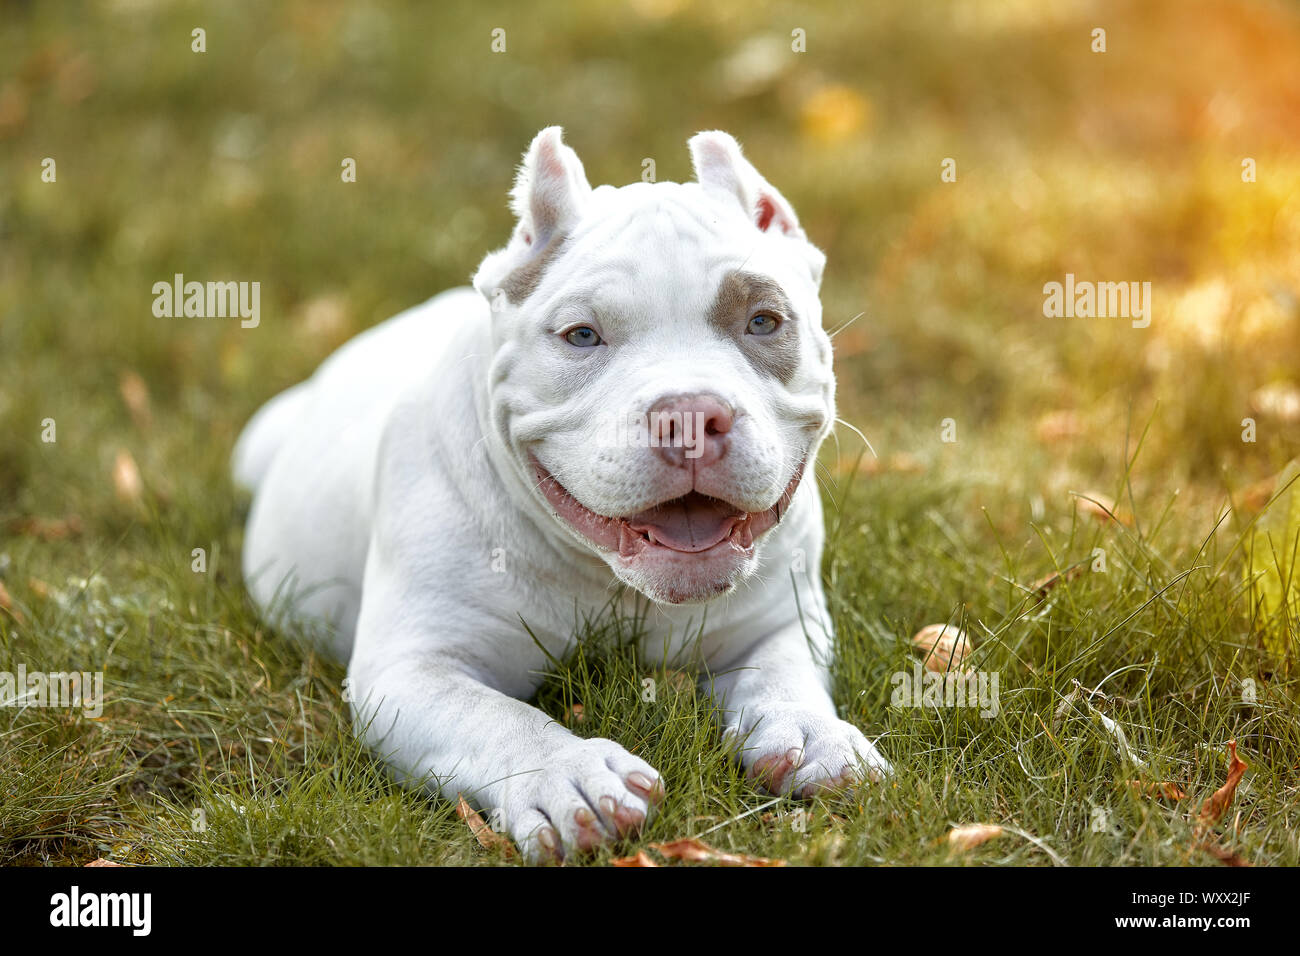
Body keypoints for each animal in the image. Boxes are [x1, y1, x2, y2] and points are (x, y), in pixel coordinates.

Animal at [233, 127, 889, 858]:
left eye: (765, 322)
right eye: (582, 336)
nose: (690, 415)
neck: (613, 584)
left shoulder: (780, 621)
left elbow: (785, 676)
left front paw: (813, 734)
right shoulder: (411, 670)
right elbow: (497, 716)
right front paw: (569, 775)